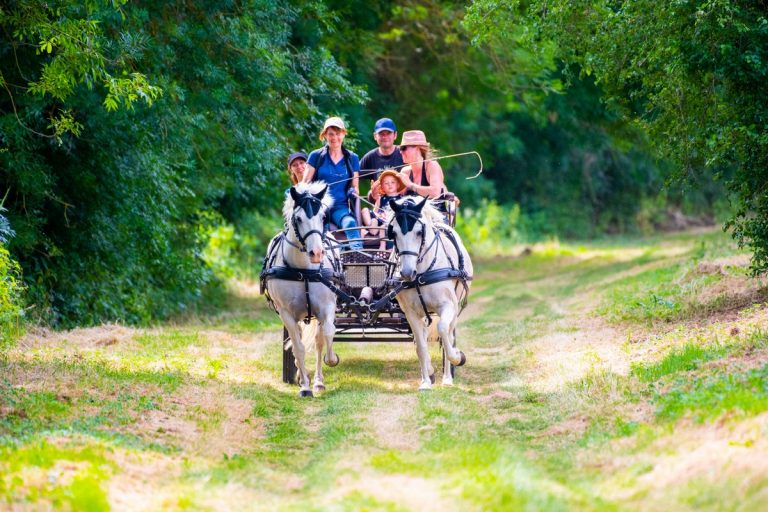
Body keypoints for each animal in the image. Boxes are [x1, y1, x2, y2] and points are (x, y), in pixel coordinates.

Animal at [260, 182, 340, 398]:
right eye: (298, 218)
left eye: (323, 217)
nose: (317, 253)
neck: (304, 271)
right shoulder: (286, 313)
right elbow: (298, 347)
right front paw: (304, 385)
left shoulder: (327, 307)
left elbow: (327, 333)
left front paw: (331, 360)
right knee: (298, 342)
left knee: (319, 341)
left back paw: (319, 382)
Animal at [390, 198, 474, 390]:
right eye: (394, 233)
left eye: (419, 232)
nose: (406, 273)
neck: (421, 274)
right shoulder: (411, 313)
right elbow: (420, 346)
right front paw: (426, 381)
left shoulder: (448, 306)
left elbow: (443, 330)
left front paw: (457, 357)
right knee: (421, 337)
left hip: (455, 308)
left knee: (448, 333)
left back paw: (448, 377)